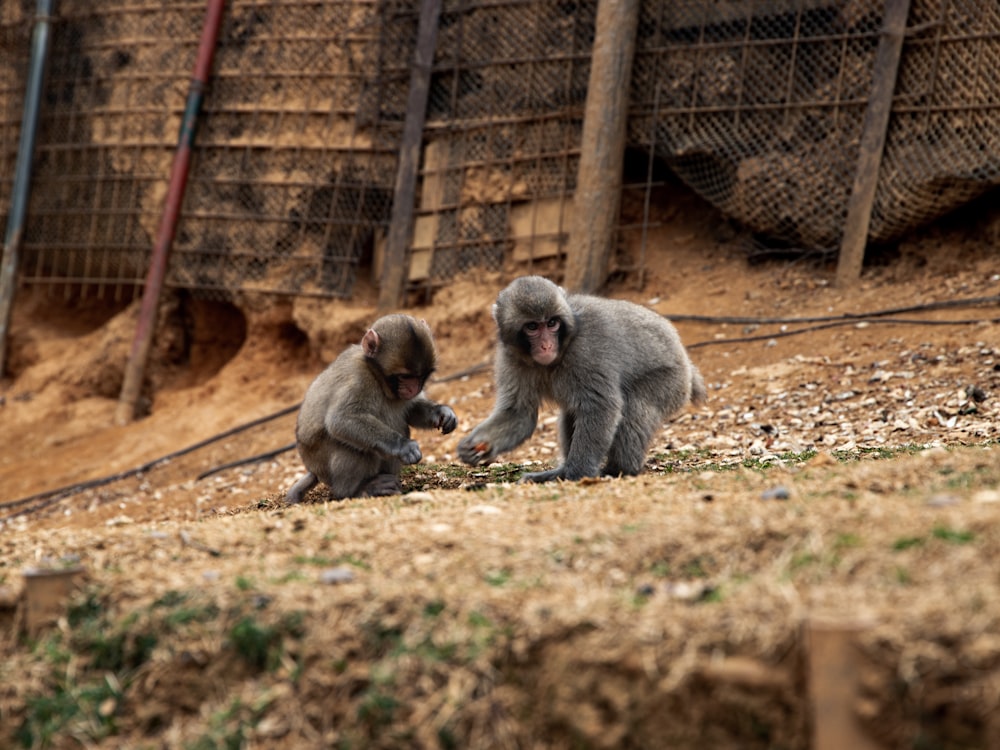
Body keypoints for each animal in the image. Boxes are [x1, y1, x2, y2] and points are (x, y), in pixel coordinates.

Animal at [286, 314, 458, 502]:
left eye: (421, 376)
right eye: (405, 376)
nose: (414, 389)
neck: (377, 376)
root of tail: (314, 470)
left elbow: (411, 411)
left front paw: (442, 412)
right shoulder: (358, 378)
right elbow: (341, 419)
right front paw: (403, 446)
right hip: (324, 467)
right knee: (353, 448)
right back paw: (357, 491)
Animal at [458, 276, 708, 482]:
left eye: (552, 323)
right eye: (532, 326)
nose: (546, 345)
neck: (562, 348)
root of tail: (685, 359)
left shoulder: (586, 351)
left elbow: (601, 406)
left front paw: (576, 474)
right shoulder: (510, 358)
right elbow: (519, 414)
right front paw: (477, 445)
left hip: (671, 381)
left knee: (635, 406)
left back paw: (619, 470)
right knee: (572, 412)